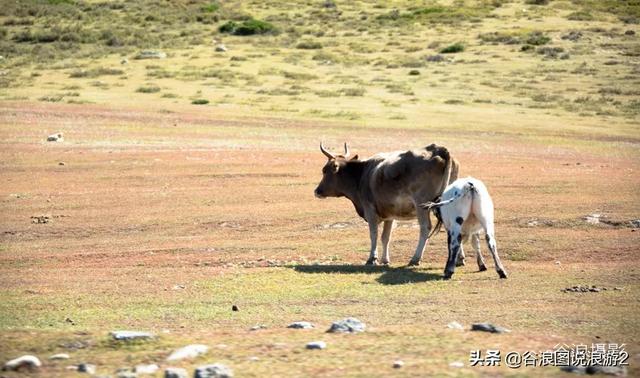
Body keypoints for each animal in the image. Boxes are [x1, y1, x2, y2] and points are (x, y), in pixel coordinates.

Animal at [314, 142, 456, 266]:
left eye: (324, 170)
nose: (317, 191)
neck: (362, 175)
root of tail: (440, 150)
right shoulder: (390, 215)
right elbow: (385, 237)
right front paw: (385, 260)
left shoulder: (370, 210)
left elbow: (374, 234)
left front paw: (372, 258)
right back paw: (458, 259)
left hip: (422, 206)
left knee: (425, 227)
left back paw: (415, 258)